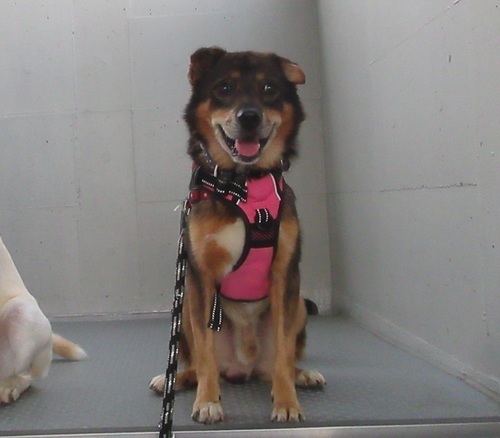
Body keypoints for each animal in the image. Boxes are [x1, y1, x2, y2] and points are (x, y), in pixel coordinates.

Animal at [150, 47, 325, 424]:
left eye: (270, 88)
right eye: (224, 88)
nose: (249, 118)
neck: (243, 186)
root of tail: (243, 366)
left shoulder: (285, 273)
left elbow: (284, 352)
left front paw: (287, 402)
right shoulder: (200, 276)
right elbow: (205, 353)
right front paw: (206, 401)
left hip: (299, 308)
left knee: (278, 363)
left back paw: (302, 375)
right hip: (184, 313)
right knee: (198, 363)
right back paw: (174, 379)